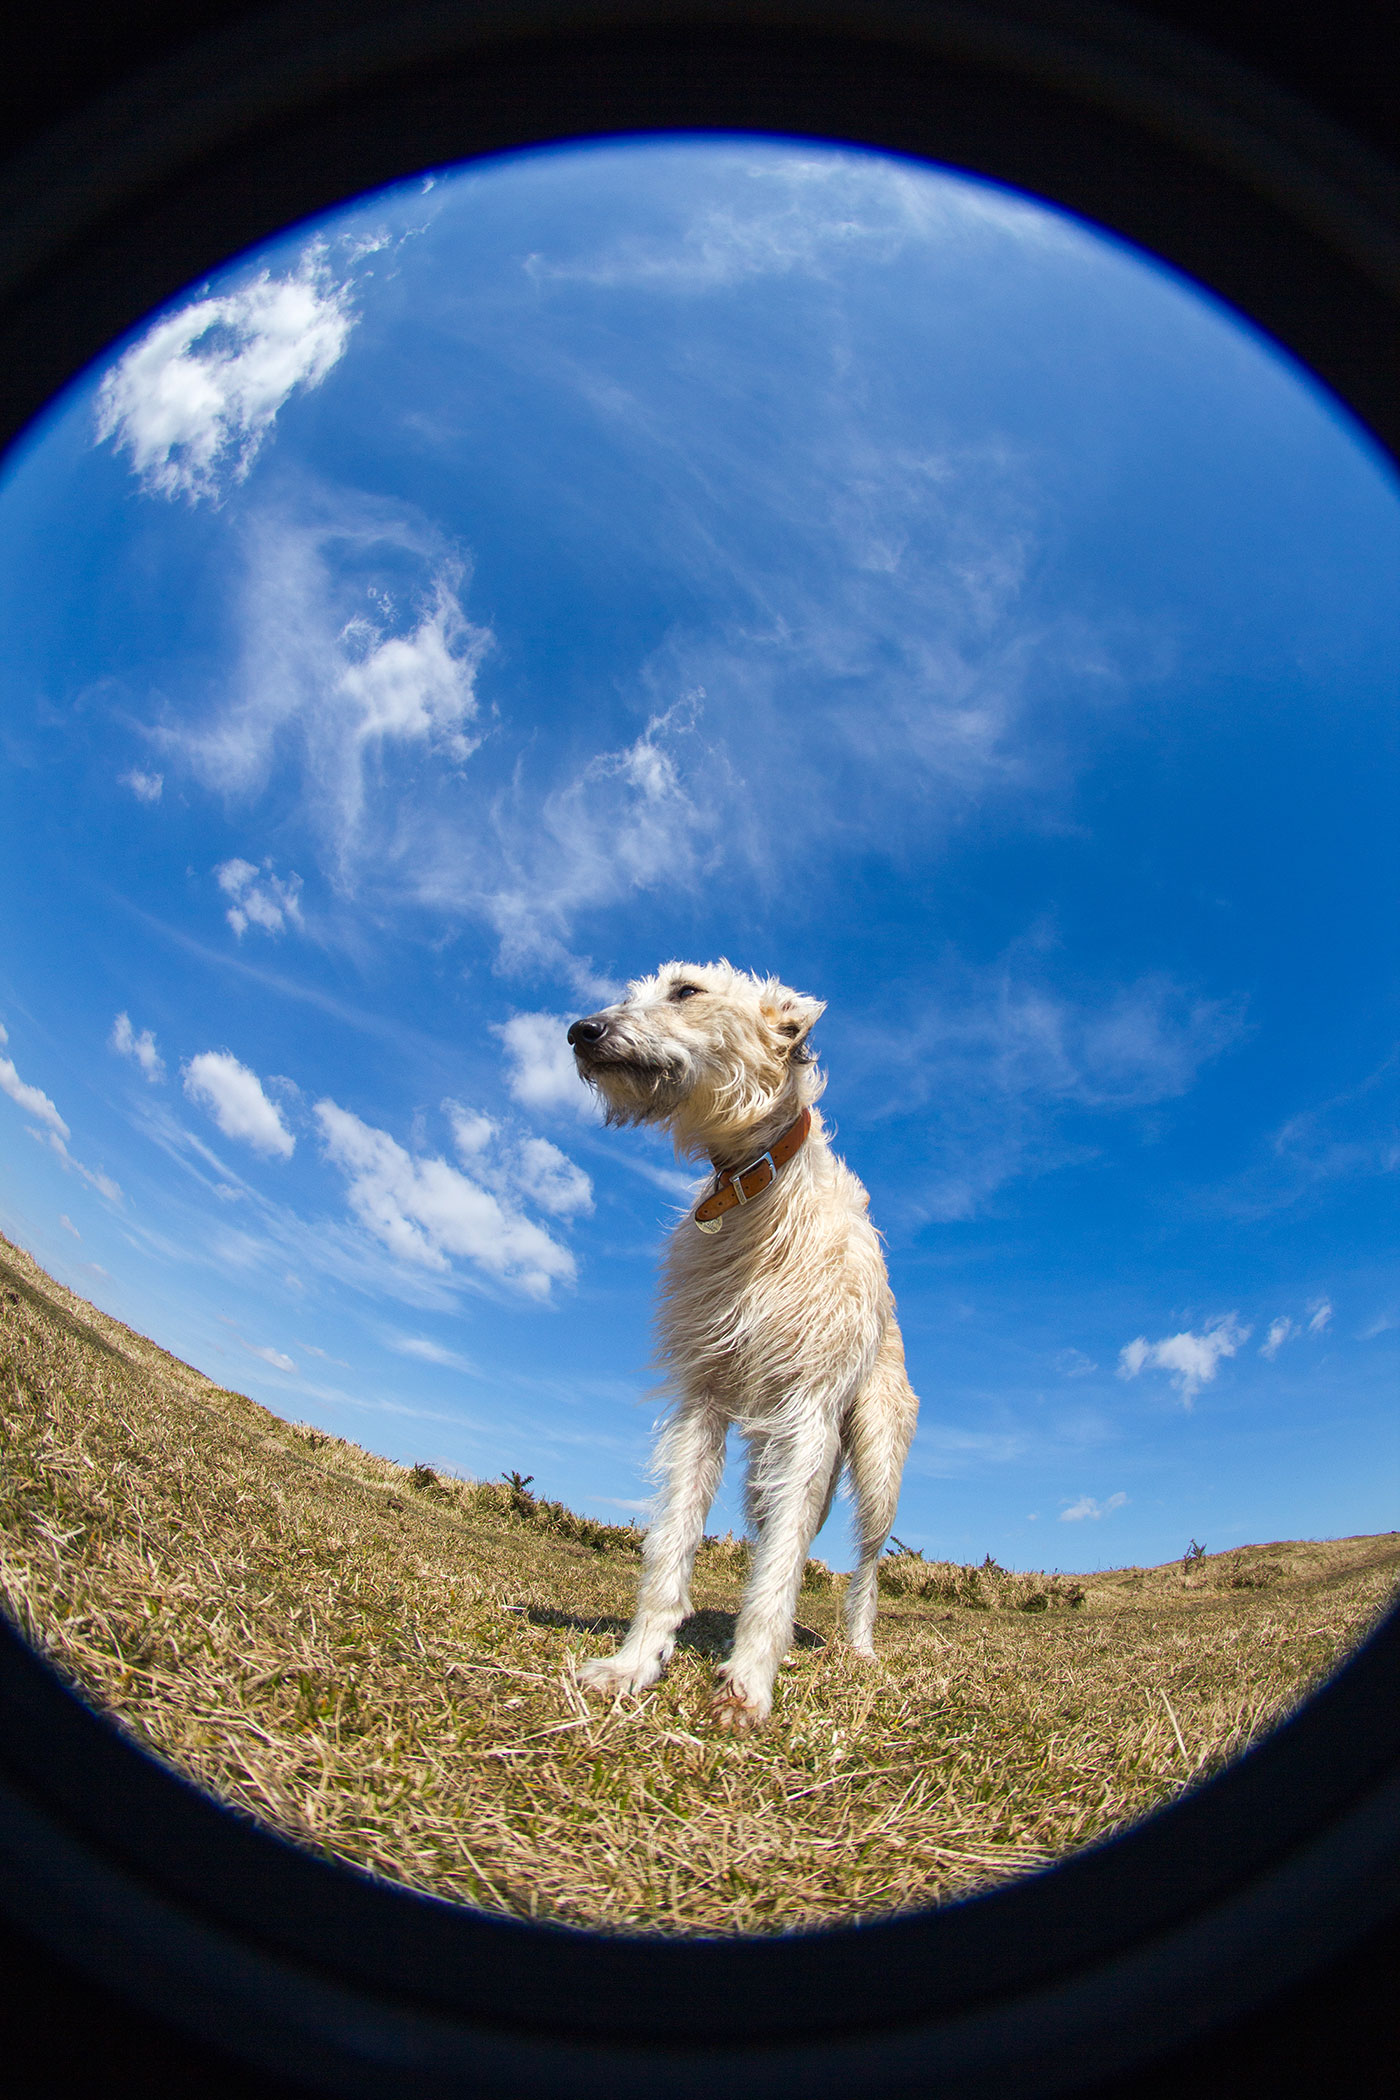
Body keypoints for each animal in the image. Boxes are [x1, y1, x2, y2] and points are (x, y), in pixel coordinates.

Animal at [570, 961, 919, 1730]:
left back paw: (859, 1646)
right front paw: (636, 1662)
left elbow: (783, 1567)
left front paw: (748, 1683)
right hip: (767, 1465)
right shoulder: (700, 1396)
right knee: (777, 1527)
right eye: (635, 992)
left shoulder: (809, 1410)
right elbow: (675, 1538)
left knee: (864, 1559)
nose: (581, 1030)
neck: (756, 1188)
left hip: (876, 1457)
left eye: (687, 991)